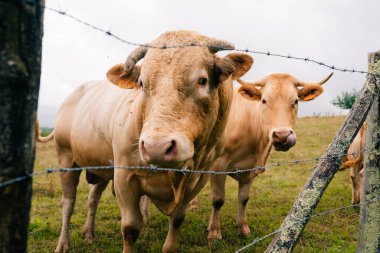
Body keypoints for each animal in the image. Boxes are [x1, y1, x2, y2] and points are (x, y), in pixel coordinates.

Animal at [38, 30, 254, 253]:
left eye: (202, 80)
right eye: (141, 83)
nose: (156, 147)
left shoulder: (199, 177)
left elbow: (177, 219)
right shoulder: (124, 176)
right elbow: (131, 227)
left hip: (100, 167)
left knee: (92, 198)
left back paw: (89, 234)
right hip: (66, 159)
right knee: (68, 204)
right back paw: (63, 244)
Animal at [205, 71, 332, 239]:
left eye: (295, 101)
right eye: (264, 100)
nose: (283, 136)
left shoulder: (250, 169)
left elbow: (244, 199)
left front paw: (243, 228)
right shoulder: (218, 166)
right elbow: (218, 200)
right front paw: (214, 232)